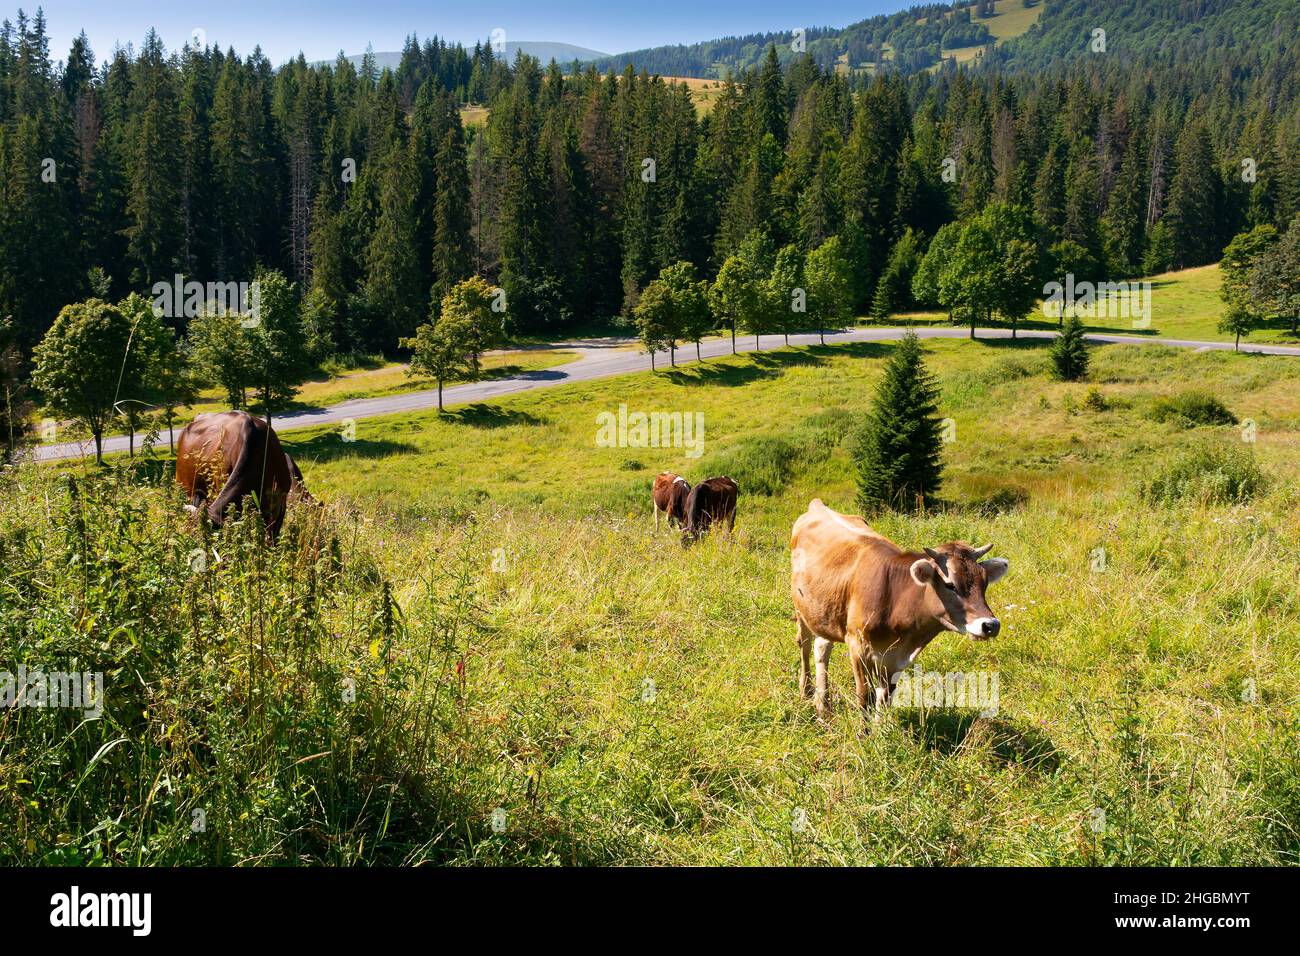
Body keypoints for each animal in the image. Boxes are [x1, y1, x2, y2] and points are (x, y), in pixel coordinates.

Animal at [789, 499, 1008, 721]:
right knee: (805, 645)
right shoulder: (857, 645)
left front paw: (880, 728)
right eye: (950, 585)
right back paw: (806, 692)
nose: (990, 625)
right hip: (801, 609)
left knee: (822, 647)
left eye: (984, 583)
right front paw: (864, 730)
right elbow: (864, 697)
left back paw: (822, 705)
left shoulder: (896, 658)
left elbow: (885, 698)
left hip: (824, 611)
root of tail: (818, 505)